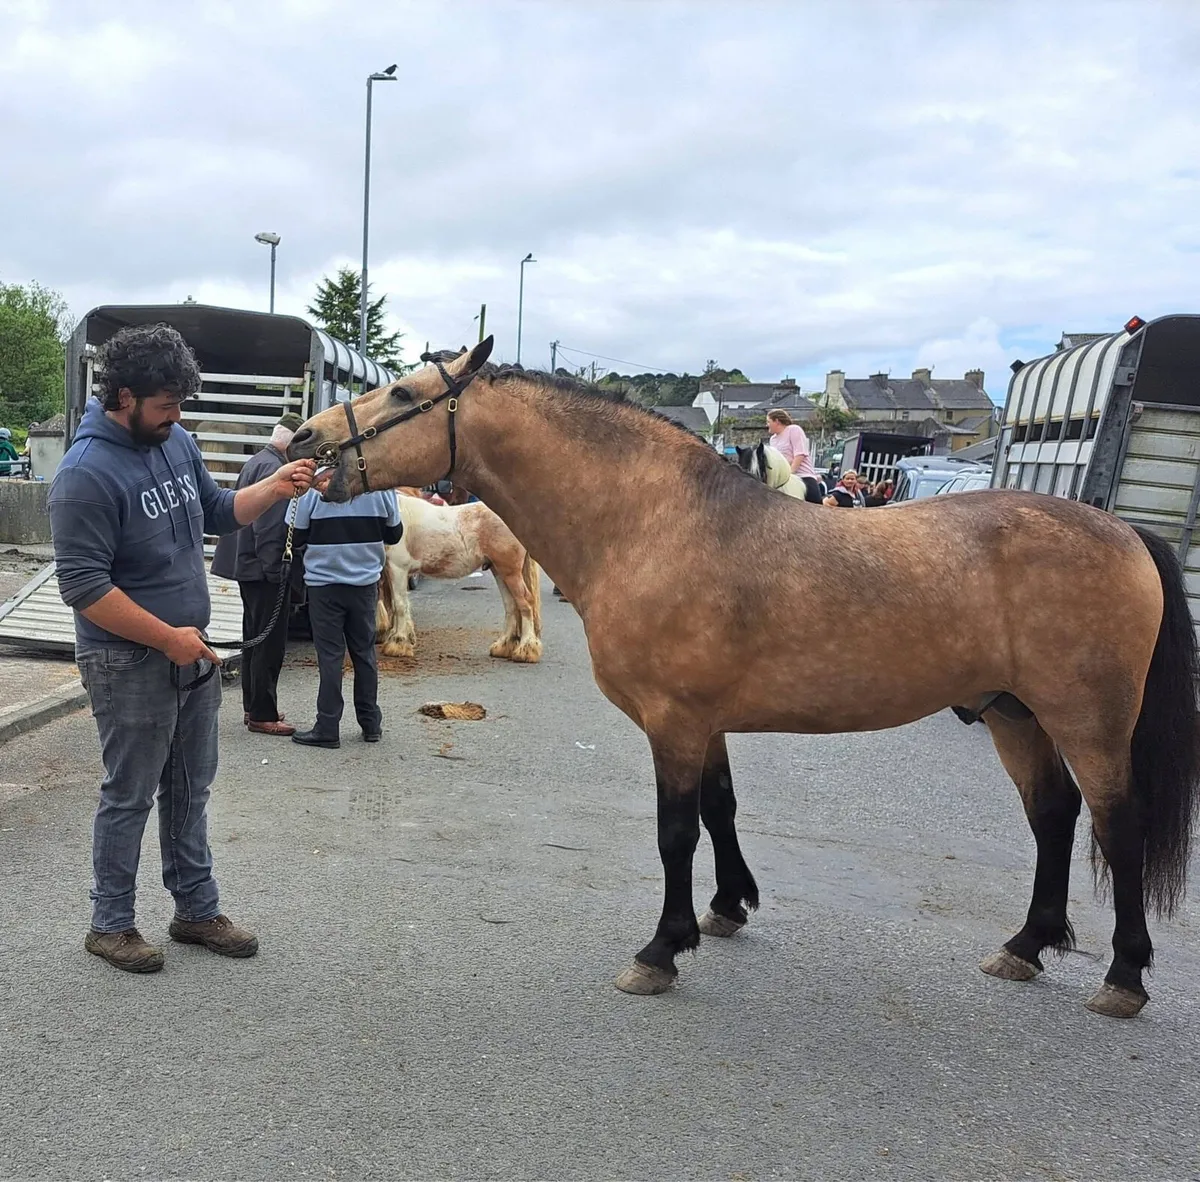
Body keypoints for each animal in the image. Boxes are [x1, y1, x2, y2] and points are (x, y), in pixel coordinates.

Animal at [376, 488, 543, 663]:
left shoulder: (398, 569)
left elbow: (399, 605)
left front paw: (398, 644)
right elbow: (396, 604)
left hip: (510, 572)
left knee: (526, 603)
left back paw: (526, 649)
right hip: (500, 571)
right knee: (511, 605)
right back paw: (504, 646)